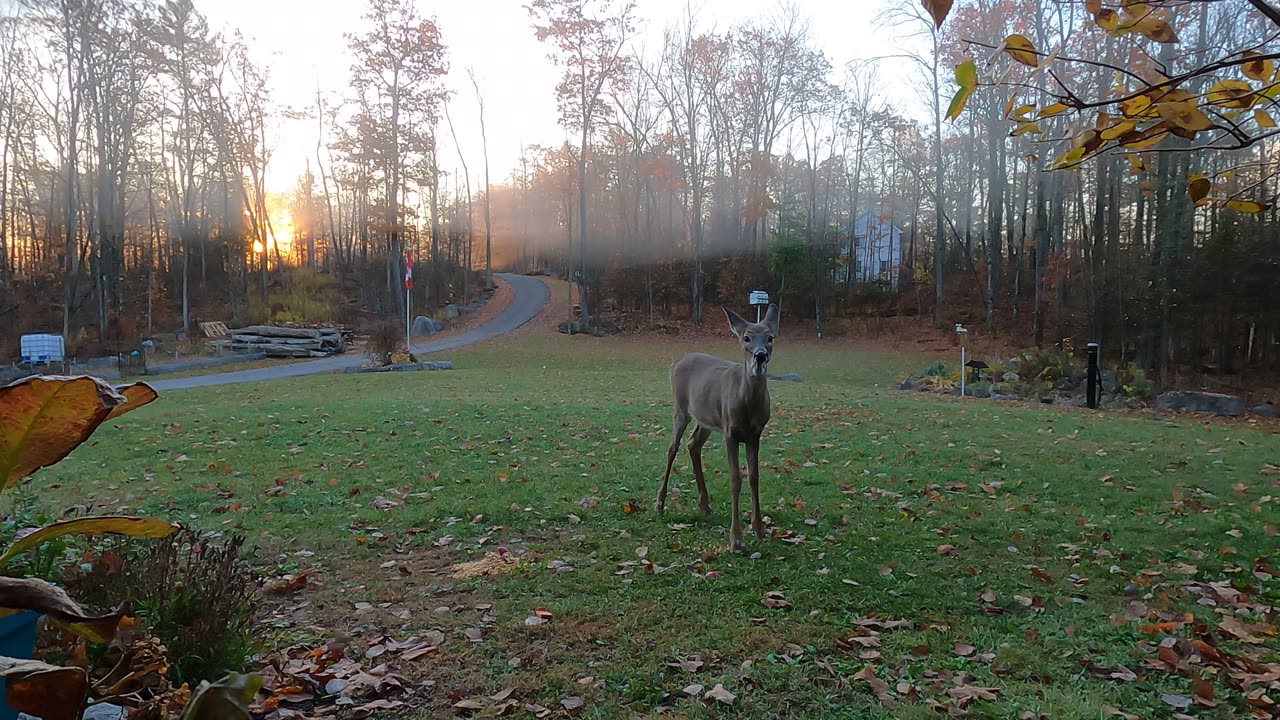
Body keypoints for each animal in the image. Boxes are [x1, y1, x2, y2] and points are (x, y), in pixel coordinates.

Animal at [660, 302, 778, 548]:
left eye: (770, 337)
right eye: (746, 338)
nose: (760, 356)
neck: (747, 404)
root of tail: (676, 362)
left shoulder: (755, 434)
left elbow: (754, 477)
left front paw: (759, 529)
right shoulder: (730, 432)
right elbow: (735, 479)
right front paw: (736, 539)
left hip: (706, 420)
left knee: (692, 444)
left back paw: (704, 504)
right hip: (681, 410)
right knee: (672, 448)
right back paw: (660, 503)